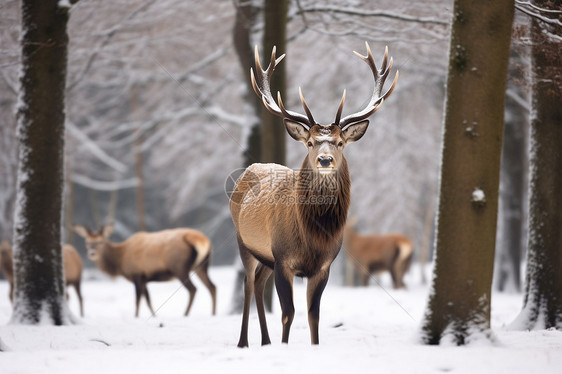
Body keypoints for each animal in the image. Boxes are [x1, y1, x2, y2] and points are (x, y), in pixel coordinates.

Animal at [72, 224, 217, 318]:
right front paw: (154, 316)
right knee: (212, 286)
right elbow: (148, 299)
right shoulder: (145, 279)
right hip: (202, 266)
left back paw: (185, 314)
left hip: (179, 267)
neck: (120, 261)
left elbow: (137, 299)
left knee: (193, 289)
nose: (92, 253)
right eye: (87, 242)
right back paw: (213, 312)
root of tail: (202, 240)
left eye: (100, 242)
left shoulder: (136, 274)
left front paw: (136, 316)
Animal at [229, 41, 398, 348]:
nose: (325, 160)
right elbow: (288, 313)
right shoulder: (284, 259)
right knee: (247, 283)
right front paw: (284, 346)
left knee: (258, 282)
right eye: (309, 142)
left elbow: (313, 315)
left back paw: (265, 342)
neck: (313, 237)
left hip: (267, 256)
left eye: (340, 142)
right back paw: (244, 342)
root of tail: (250, 169)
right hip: (243, 240)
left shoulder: (323, 266)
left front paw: (312, 346)